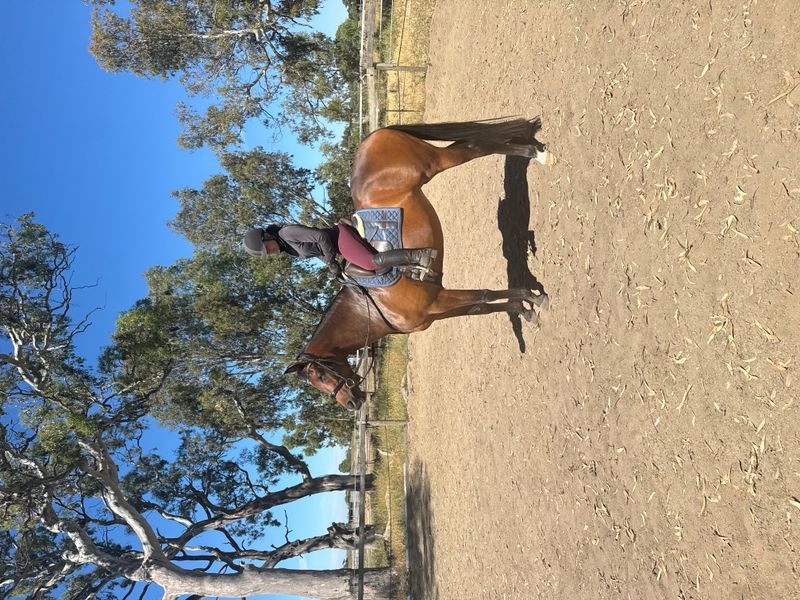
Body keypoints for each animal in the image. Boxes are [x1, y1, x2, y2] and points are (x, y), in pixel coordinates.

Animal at [284, 118, 552, 411]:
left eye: (320, 376)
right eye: (316, 382)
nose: (352, 404)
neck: (374, 307)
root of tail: (371, 139)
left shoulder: (437, 300)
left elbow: (484, 294)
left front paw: (533, 298)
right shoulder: (436, 310)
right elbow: (482, 306)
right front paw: (524, 309)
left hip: (433, 163)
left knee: (474, 146)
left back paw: (537, 154)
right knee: (471, 142)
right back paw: (531, 144)